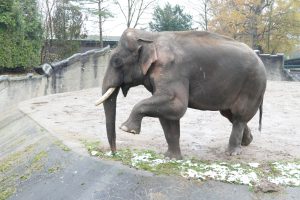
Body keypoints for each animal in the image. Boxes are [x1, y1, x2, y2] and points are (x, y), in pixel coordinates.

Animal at [96, 28, 268, 159]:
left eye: (116, 61)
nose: (115, 153)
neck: (150, 37)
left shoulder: (172, 70)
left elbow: (177, 105)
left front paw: (127, 129)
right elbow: (168, 116)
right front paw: (171, 158)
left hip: (253, 85)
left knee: (239, 116)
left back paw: (232, 153)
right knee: (230, 114)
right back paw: (247, 142)